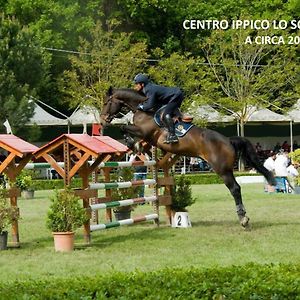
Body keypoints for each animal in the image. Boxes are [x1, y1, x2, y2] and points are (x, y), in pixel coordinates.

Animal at [99, 88, 276, 229]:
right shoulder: (148, 138)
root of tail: (228, 140)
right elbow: (136, 139)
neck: (143, 110)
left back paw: (243, 219)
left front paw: (131, 142)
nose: (102, 120)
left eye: (107, 102)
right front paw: (136, 146)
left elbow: (124, 128)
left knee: (235, 189)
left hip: (222, 169)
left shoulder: (144, 132)